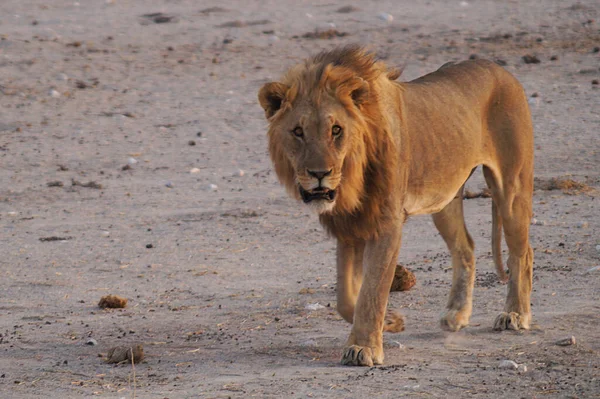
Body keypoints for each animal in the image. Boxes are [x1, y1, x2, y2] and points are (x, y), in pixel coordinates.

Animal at [258, 45, 536, 368]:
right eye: (298, 131)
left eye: (336, 130)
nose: (319, 174)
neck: (352, 176)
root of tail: (500, 69)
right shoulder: (349, 225)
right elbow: (346, 298)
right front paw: (390, 321)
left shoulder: (386, 223)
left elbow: (373, 288)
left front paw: (364, 347)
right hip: (444, 198)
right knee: (465, 247)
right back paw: (457, 314)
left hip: (511, 188)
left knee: (523, 252)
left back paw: (515, 314)